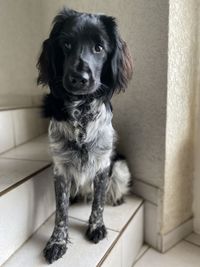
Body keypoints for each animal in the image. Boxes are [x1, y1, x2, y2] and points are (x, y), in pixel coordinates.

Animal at [36, 7, 133, 264]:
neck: (81, 111)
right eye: (66, 44)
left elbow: (98, 203)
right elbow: (61, 212)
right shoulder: (60, 169)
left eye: (99, 47)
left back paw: (116, 199)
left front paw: (96, 226)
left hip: (120, 167)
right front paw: (57, 241)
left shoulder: (102, 165)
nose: (80, 78)